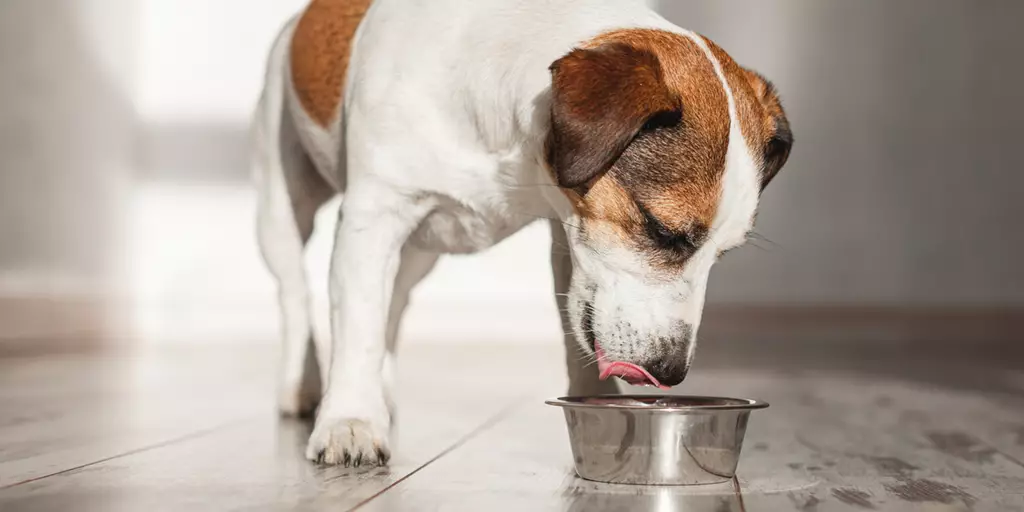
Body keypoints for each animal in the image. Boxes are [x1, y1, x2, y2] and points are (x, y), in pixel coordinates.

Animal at [253, 0, 790, 466]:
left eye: (724, 254)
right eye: (662, 231)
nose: (670, 372)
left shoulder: (565, 231)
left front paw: (599, 403)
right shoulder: (374, 215)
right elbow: (356, 324)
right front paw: (350, 420)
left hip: (422, 250)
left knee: (396, 299)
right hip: (283, 205)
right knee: (295, 290)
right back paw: (302, 385)